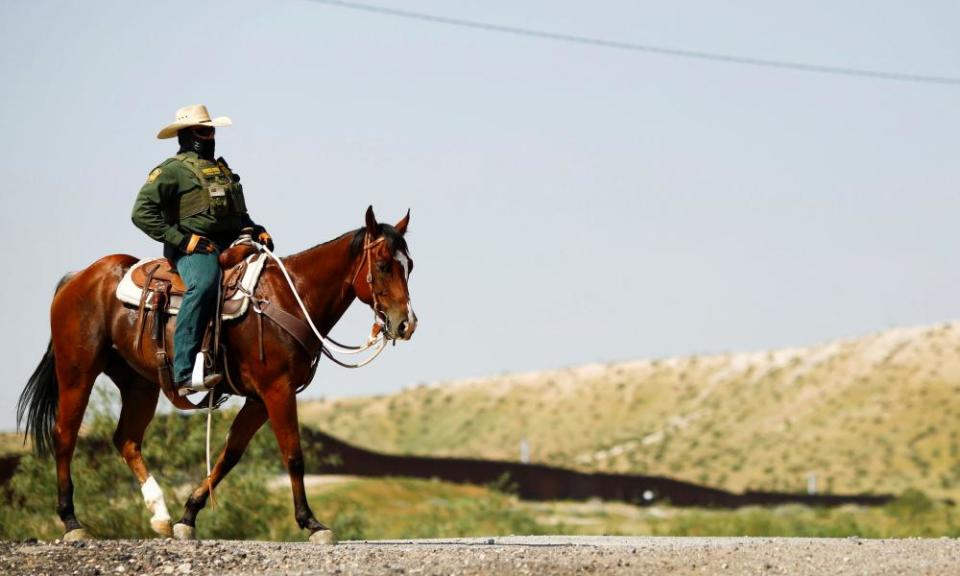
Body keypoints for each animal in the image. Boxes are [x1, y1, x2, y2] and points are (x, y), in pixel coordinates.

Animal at [15, 207, 412, 544]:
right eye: (383, 264)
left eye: (409, 265)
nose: (405, 324)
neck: (289, 297)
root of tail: (78, 278)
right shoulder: (277, 389)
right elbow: (293, 454)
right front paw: (312, 523)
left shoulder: (258, 399)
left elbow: (230, 454)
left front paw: (187, 517)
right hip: (77, 371)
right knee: (65, 435)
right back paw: (72, 523)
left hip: (139, 383)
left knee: (126, 439)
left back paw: (159, 514)